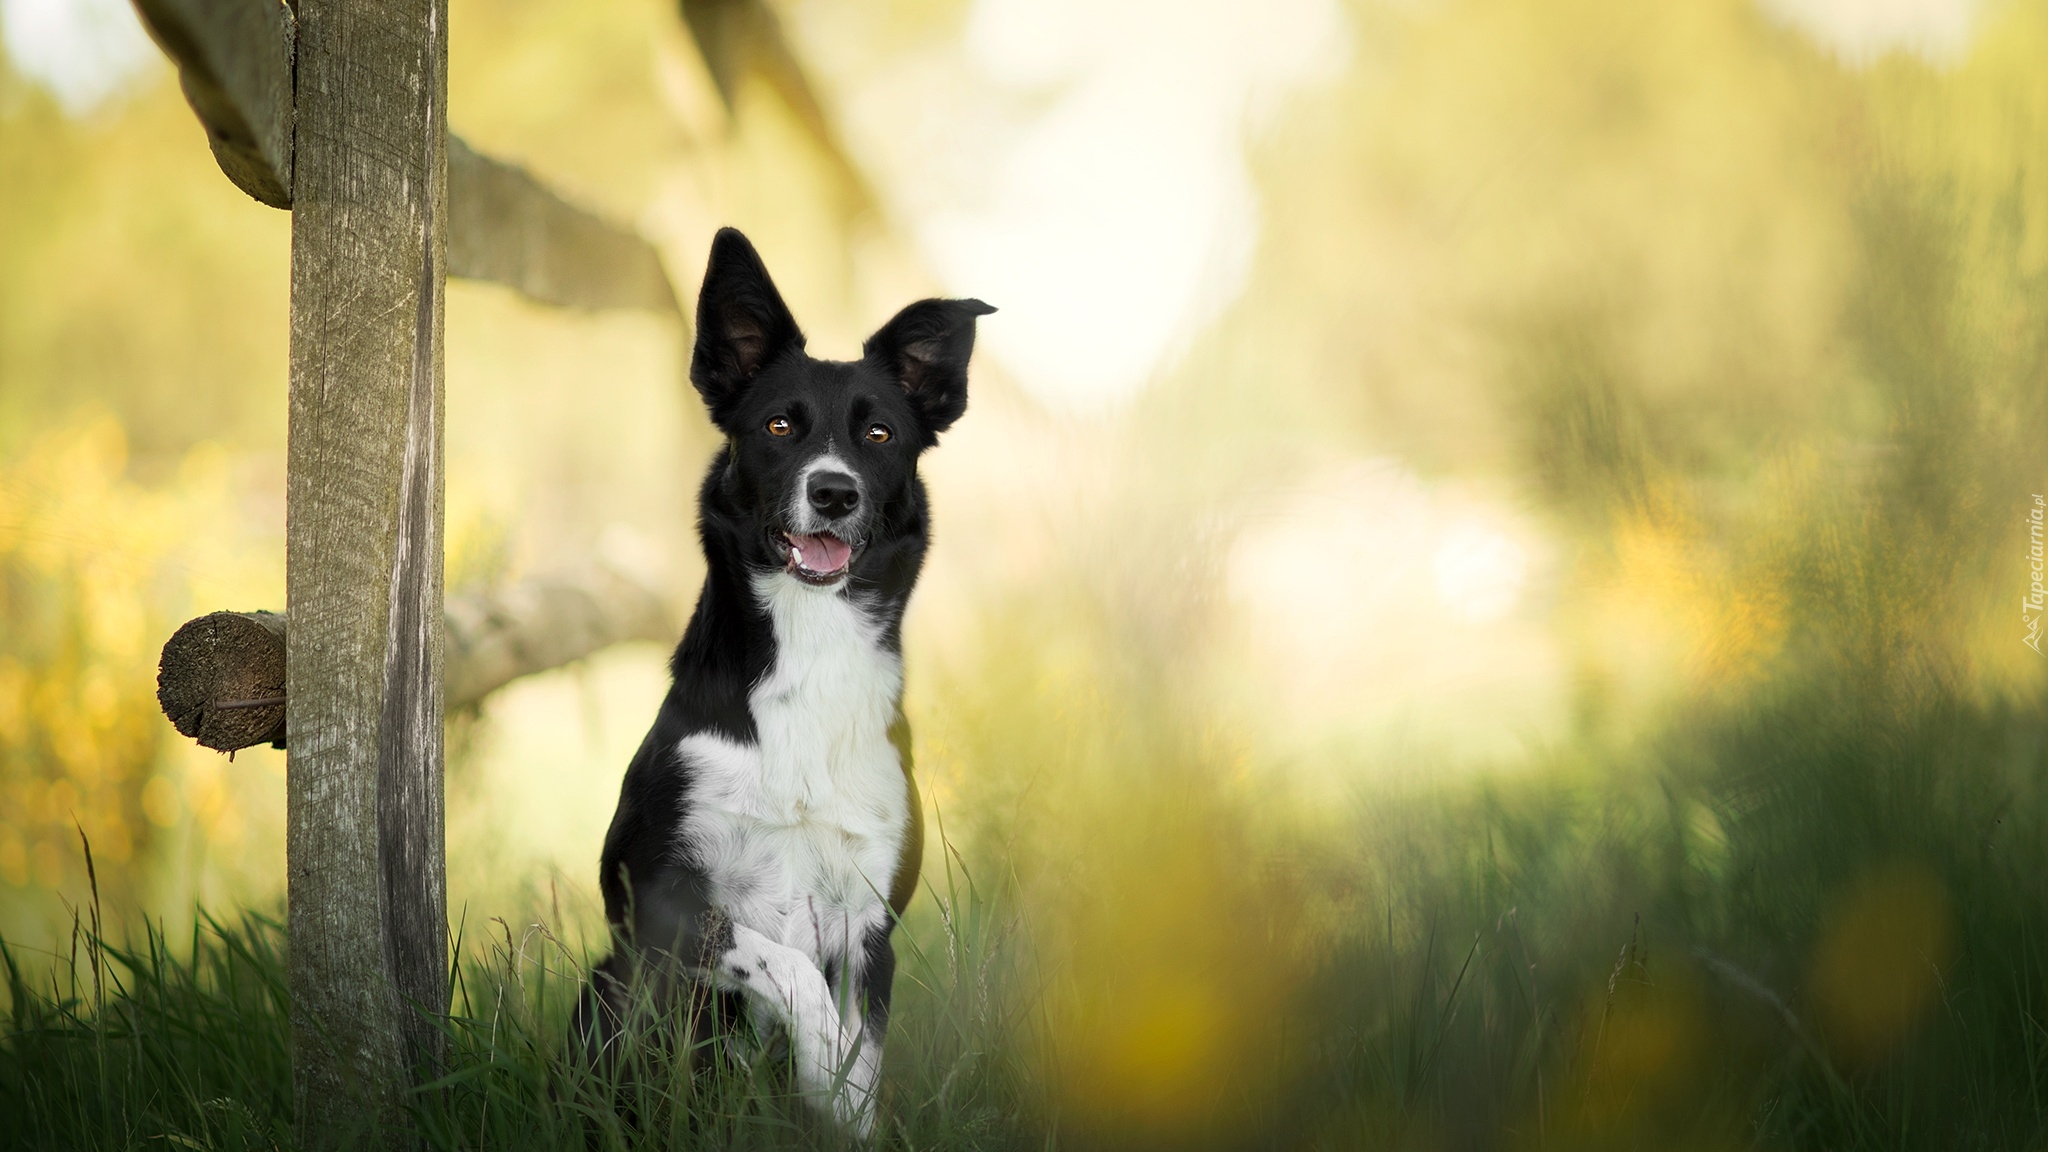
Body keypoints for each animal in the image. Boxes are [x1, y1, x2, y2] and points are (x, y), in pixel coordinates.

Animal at [573, 226, 995, 1131]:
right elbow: (787, 970)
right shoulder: (658, 900)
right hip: (610, 986)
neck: (811, 649)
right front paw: (820, 1066)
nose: (832, 492)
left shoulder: (871, 925)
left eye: (880, 435)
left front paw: (840, 1099)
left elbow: (860, 1055)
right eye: (778, 425)